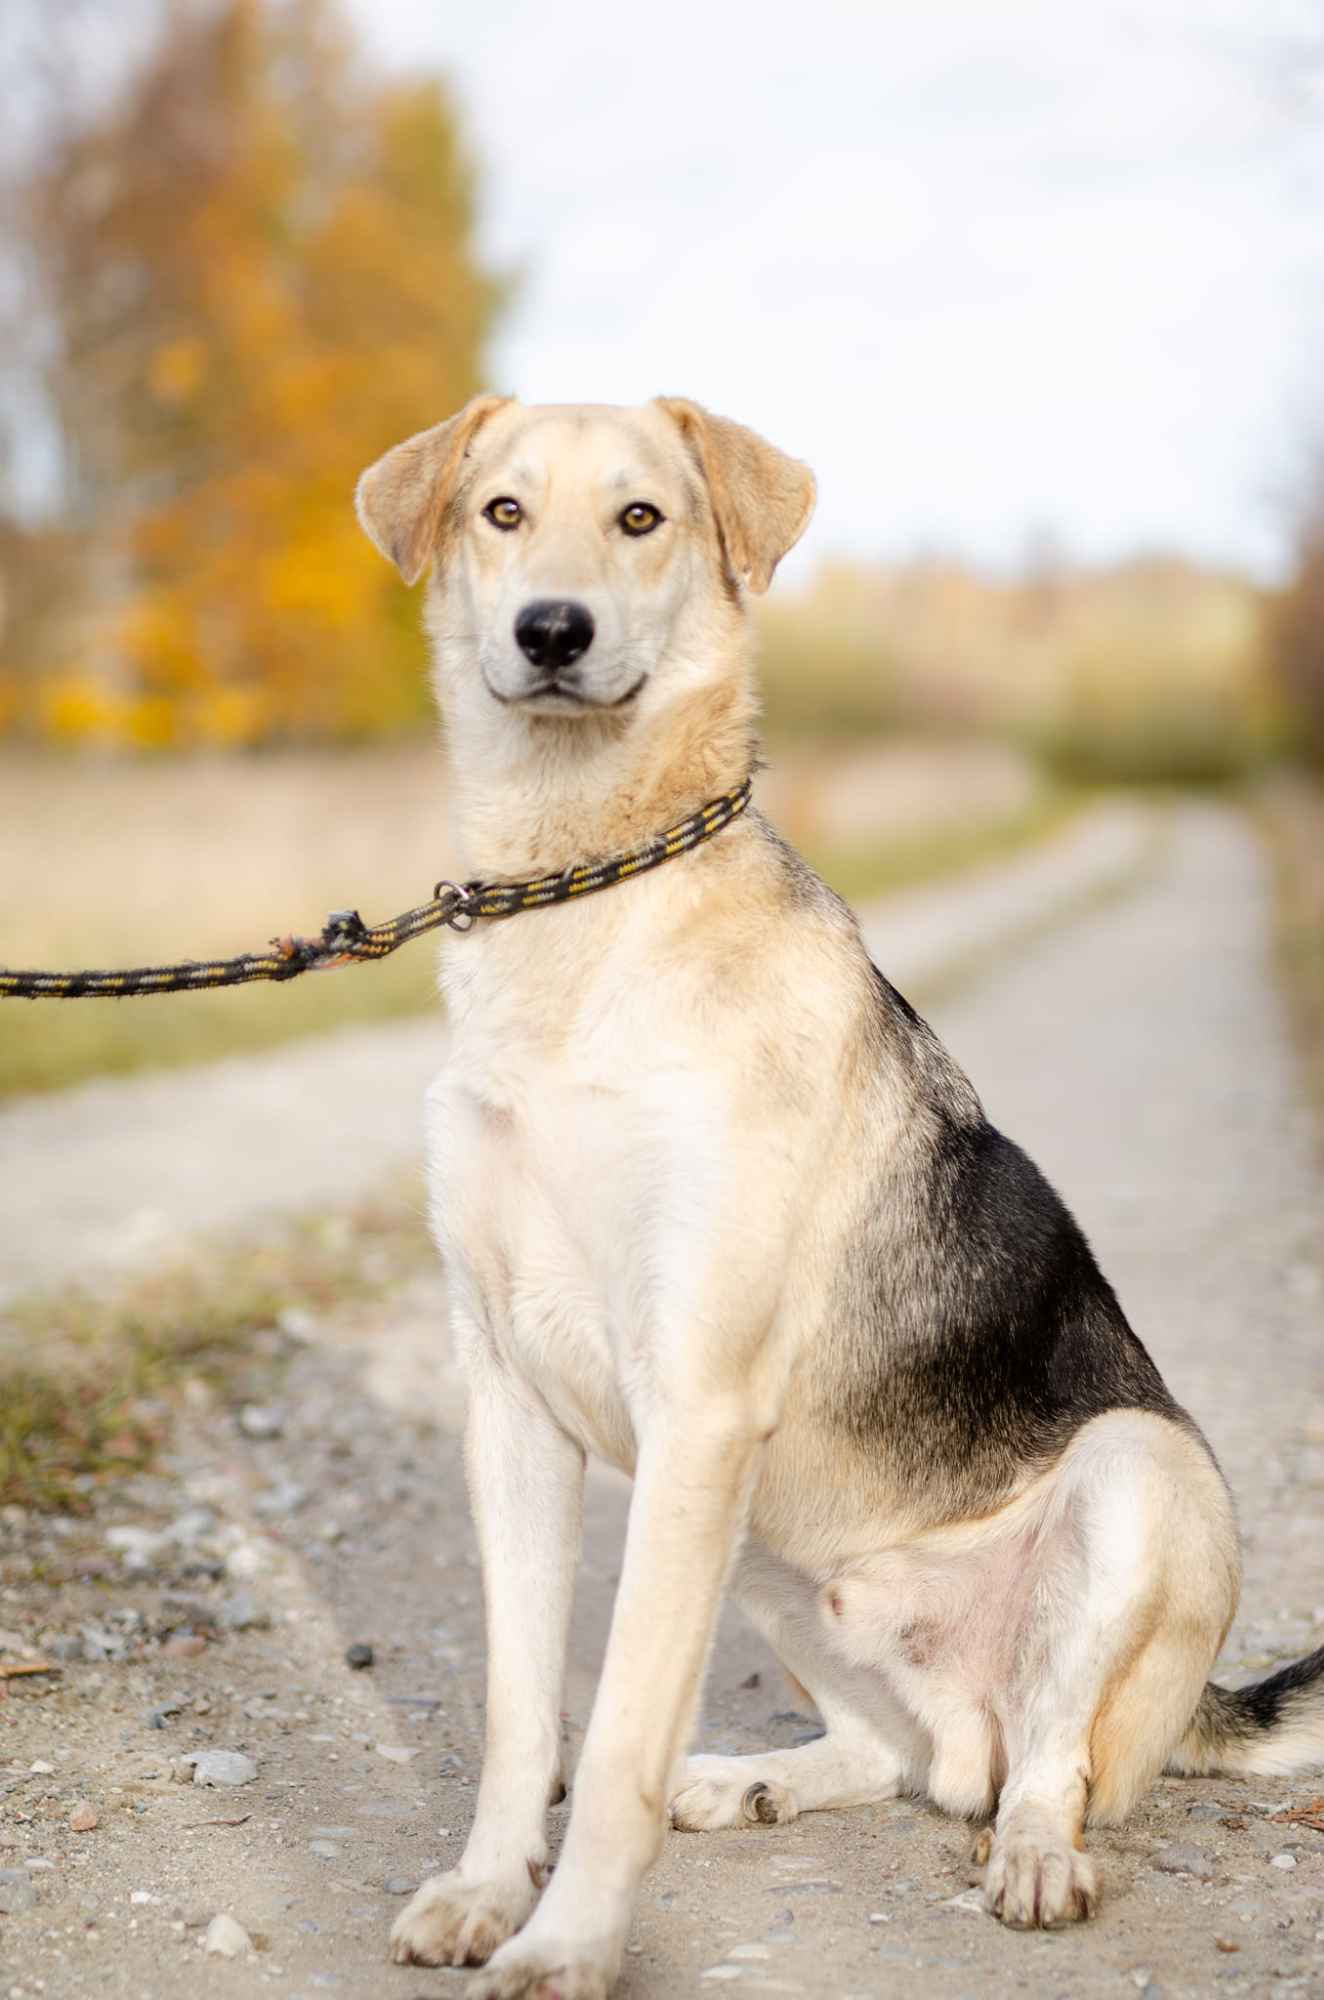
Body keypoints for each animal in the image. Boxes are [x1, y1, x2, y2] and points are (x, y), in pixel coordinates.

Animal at [352, 394, 1324, 2000]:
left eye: (640, 518)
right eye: (502, 513)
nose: (552, 632)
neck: (580, 892)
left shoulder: (692, 1402)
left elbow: (613, 1737)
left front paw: (570, 1942)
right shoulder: (512, 1401)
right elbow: (518, 1710)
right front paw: (491, 1891)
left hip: (1132, 1478)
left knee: (1040, 1763)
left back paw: (1036, 1857)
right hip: (770, 1548)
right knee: (903, 1756)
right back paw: (752, 1778)